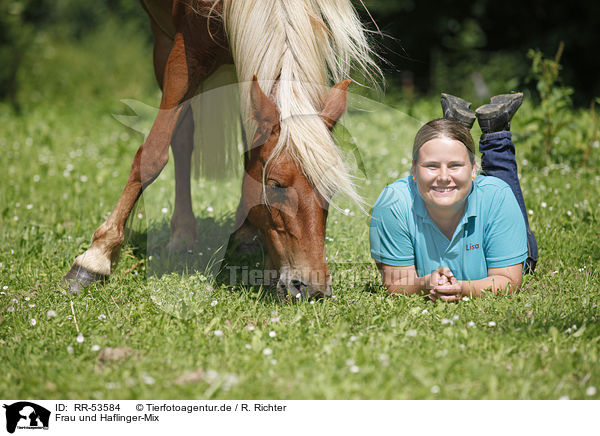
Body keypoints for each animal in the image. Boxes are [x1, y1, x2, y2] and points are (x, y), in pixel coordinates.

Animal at [62, 0, 380, 298]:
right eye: (275, 185)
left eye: (331, 190)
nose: (312, 288)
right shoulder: (184, 51)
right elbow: (153, 154)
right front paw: (95, 258)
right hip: (163, 38)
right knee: (182, 137)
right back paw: (182, 235)